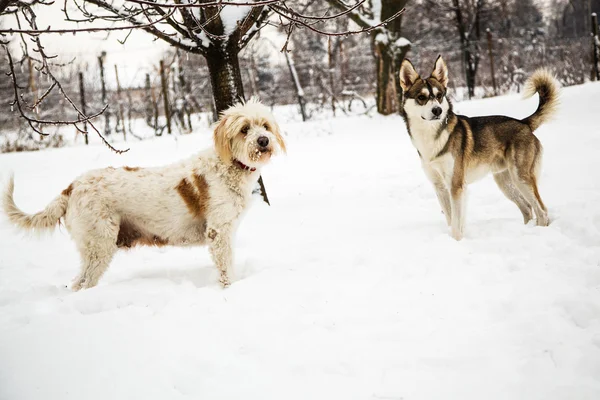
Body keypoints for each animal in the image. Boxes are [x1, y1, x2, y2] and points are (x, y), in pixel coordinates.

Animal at [2, 98, 288, 290]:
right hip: (99, 246)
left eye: (264, 126)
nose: (263, 141)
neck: (229, 166)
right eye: (244, 129)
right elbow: (226, 268)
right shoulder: (219, 233)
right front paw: (230, 288)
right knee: (81, 284)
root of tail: (72, 186)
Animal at [400, 54, 560, 239]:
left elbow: (456, 225)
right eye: (421, 97)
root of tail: (524, 123)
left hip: (521, 178)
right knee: (527, 208)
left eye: (439, 95)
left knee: (542, 211)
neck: (431, 136)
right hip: (506, 182)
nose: (437, 110)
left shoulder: (456, 185)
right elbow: (451, 220)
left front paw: (457, 240)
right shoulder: (440, 187)